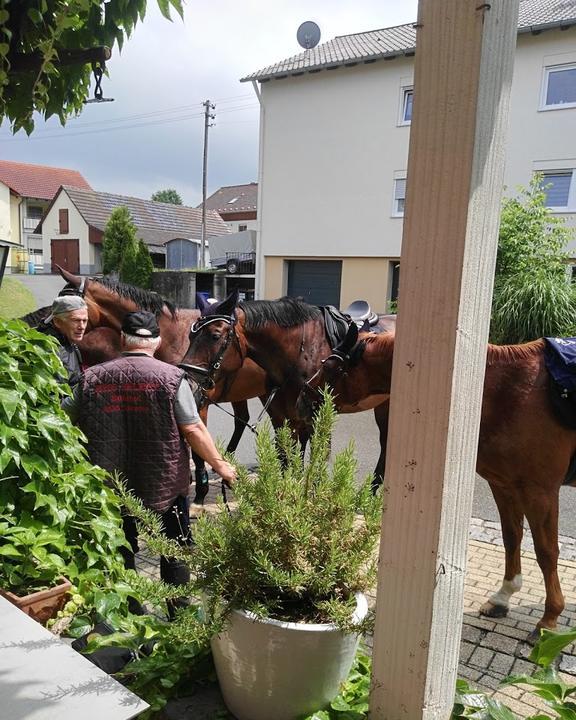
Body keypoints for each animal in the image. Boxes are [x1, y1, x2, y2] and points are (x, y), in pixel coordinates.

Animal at [179, 288, 396, 484]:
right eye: (189, 336)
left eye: (215, 336)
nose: (189, 384)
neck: (301, 352)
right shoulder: (280, 416)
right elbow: (286, 457)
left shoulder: (313, 416)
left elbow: (313, 456)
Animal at [296, 324, 576, 640]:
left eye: (330, 368)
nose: (300, 401)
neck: (511, 391)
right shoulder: (504, 485)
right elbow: (511, 537)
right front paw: (503, 596)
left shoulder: (540, 491)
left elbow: (546, 551)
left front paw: (549, 618)